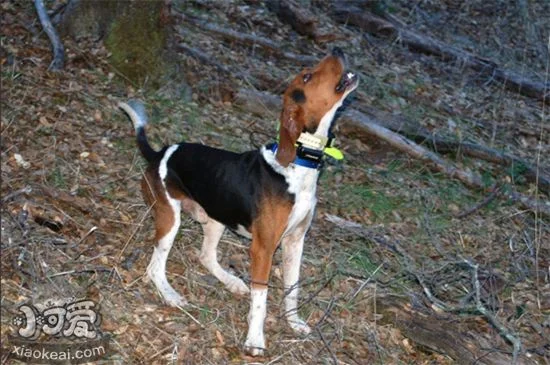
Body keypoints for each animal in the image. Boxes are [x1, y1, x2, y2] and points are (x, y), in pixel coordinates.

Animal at [120, 47, 360, 354]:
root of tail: (161, 152)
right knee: (155, 266)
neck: (299, 162)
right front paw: (255, 339)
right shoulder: (263, 247)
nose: (338, 50)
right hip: (170, 219)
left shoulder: (295, 241)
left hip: (216, 218)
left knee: (205, 256)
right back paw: (170, 295)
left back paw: (232, 281)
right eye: (307, 76)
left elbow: (293, 288)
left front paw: (294, 322)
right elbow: (261, 298)